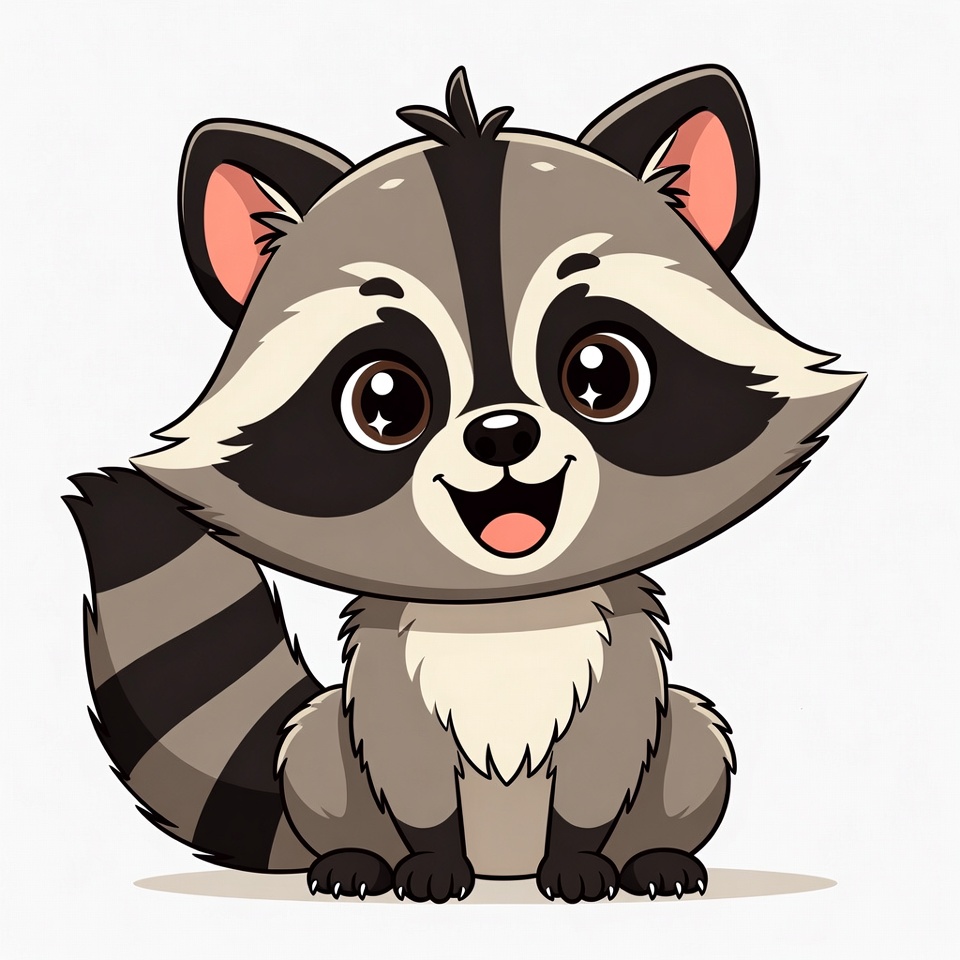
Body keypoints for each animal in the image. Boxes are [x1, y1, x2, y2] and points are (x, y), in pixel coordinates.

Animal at [66, 66, 863, 903]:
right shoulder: (387, 680)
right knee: (318, 741)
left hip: (689, 737)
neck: (503, 613)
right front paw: (428, 858)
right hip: (321, 744)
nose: (503, 434)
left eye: (601, 373)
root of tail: (502, 869)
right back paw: (356, 857)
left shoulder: (621, 668)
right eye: (386, 401)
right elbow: (410, 772)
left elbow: (601, 766)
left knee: (692, 735)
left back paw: (654, 854)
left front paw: (580, 857)